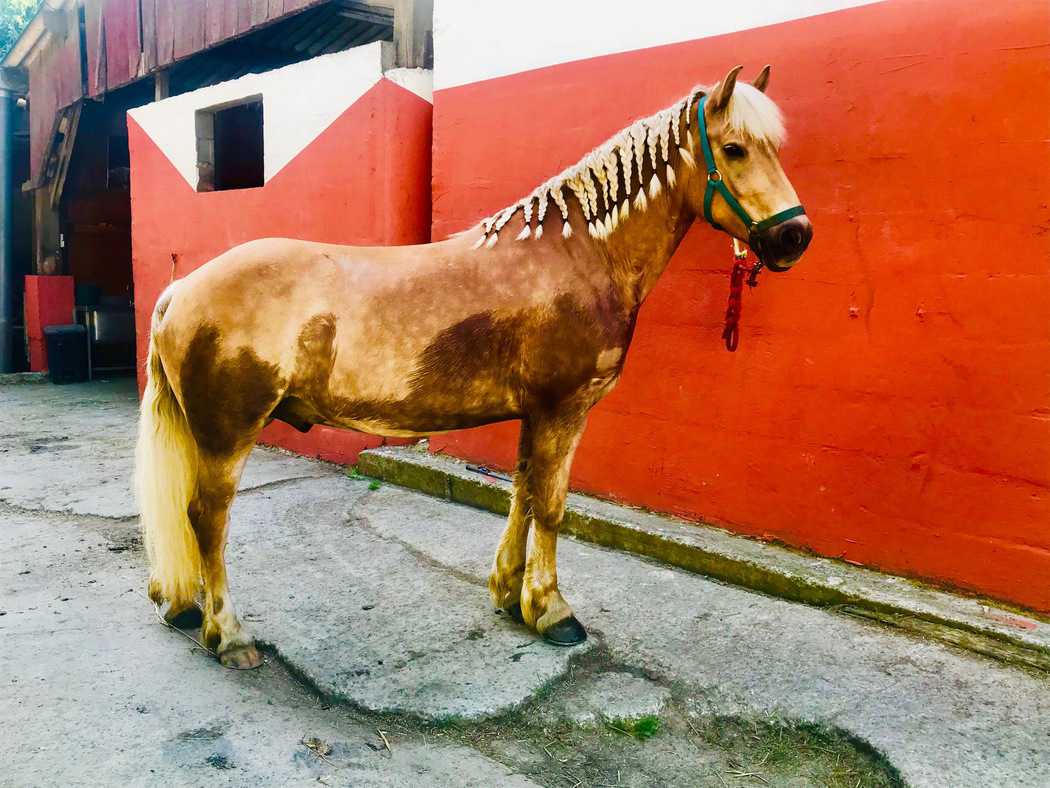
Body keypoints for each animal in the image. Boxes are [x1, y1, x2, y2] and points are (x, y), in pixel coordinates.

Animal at [136, 65, 812, 669]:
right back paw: (229, 634)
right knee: (207, 518)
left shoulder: (535, 412)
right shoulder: (565, 408)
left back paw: (186, 608)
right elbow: (553, 506)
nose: (795, 237)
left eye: (774, 148)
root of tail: (181, 289)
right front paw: (553, 611)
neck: (580, 252)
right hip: (228, 433)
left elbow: (523, 494)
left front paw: (512, 597)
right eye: (734, 149)